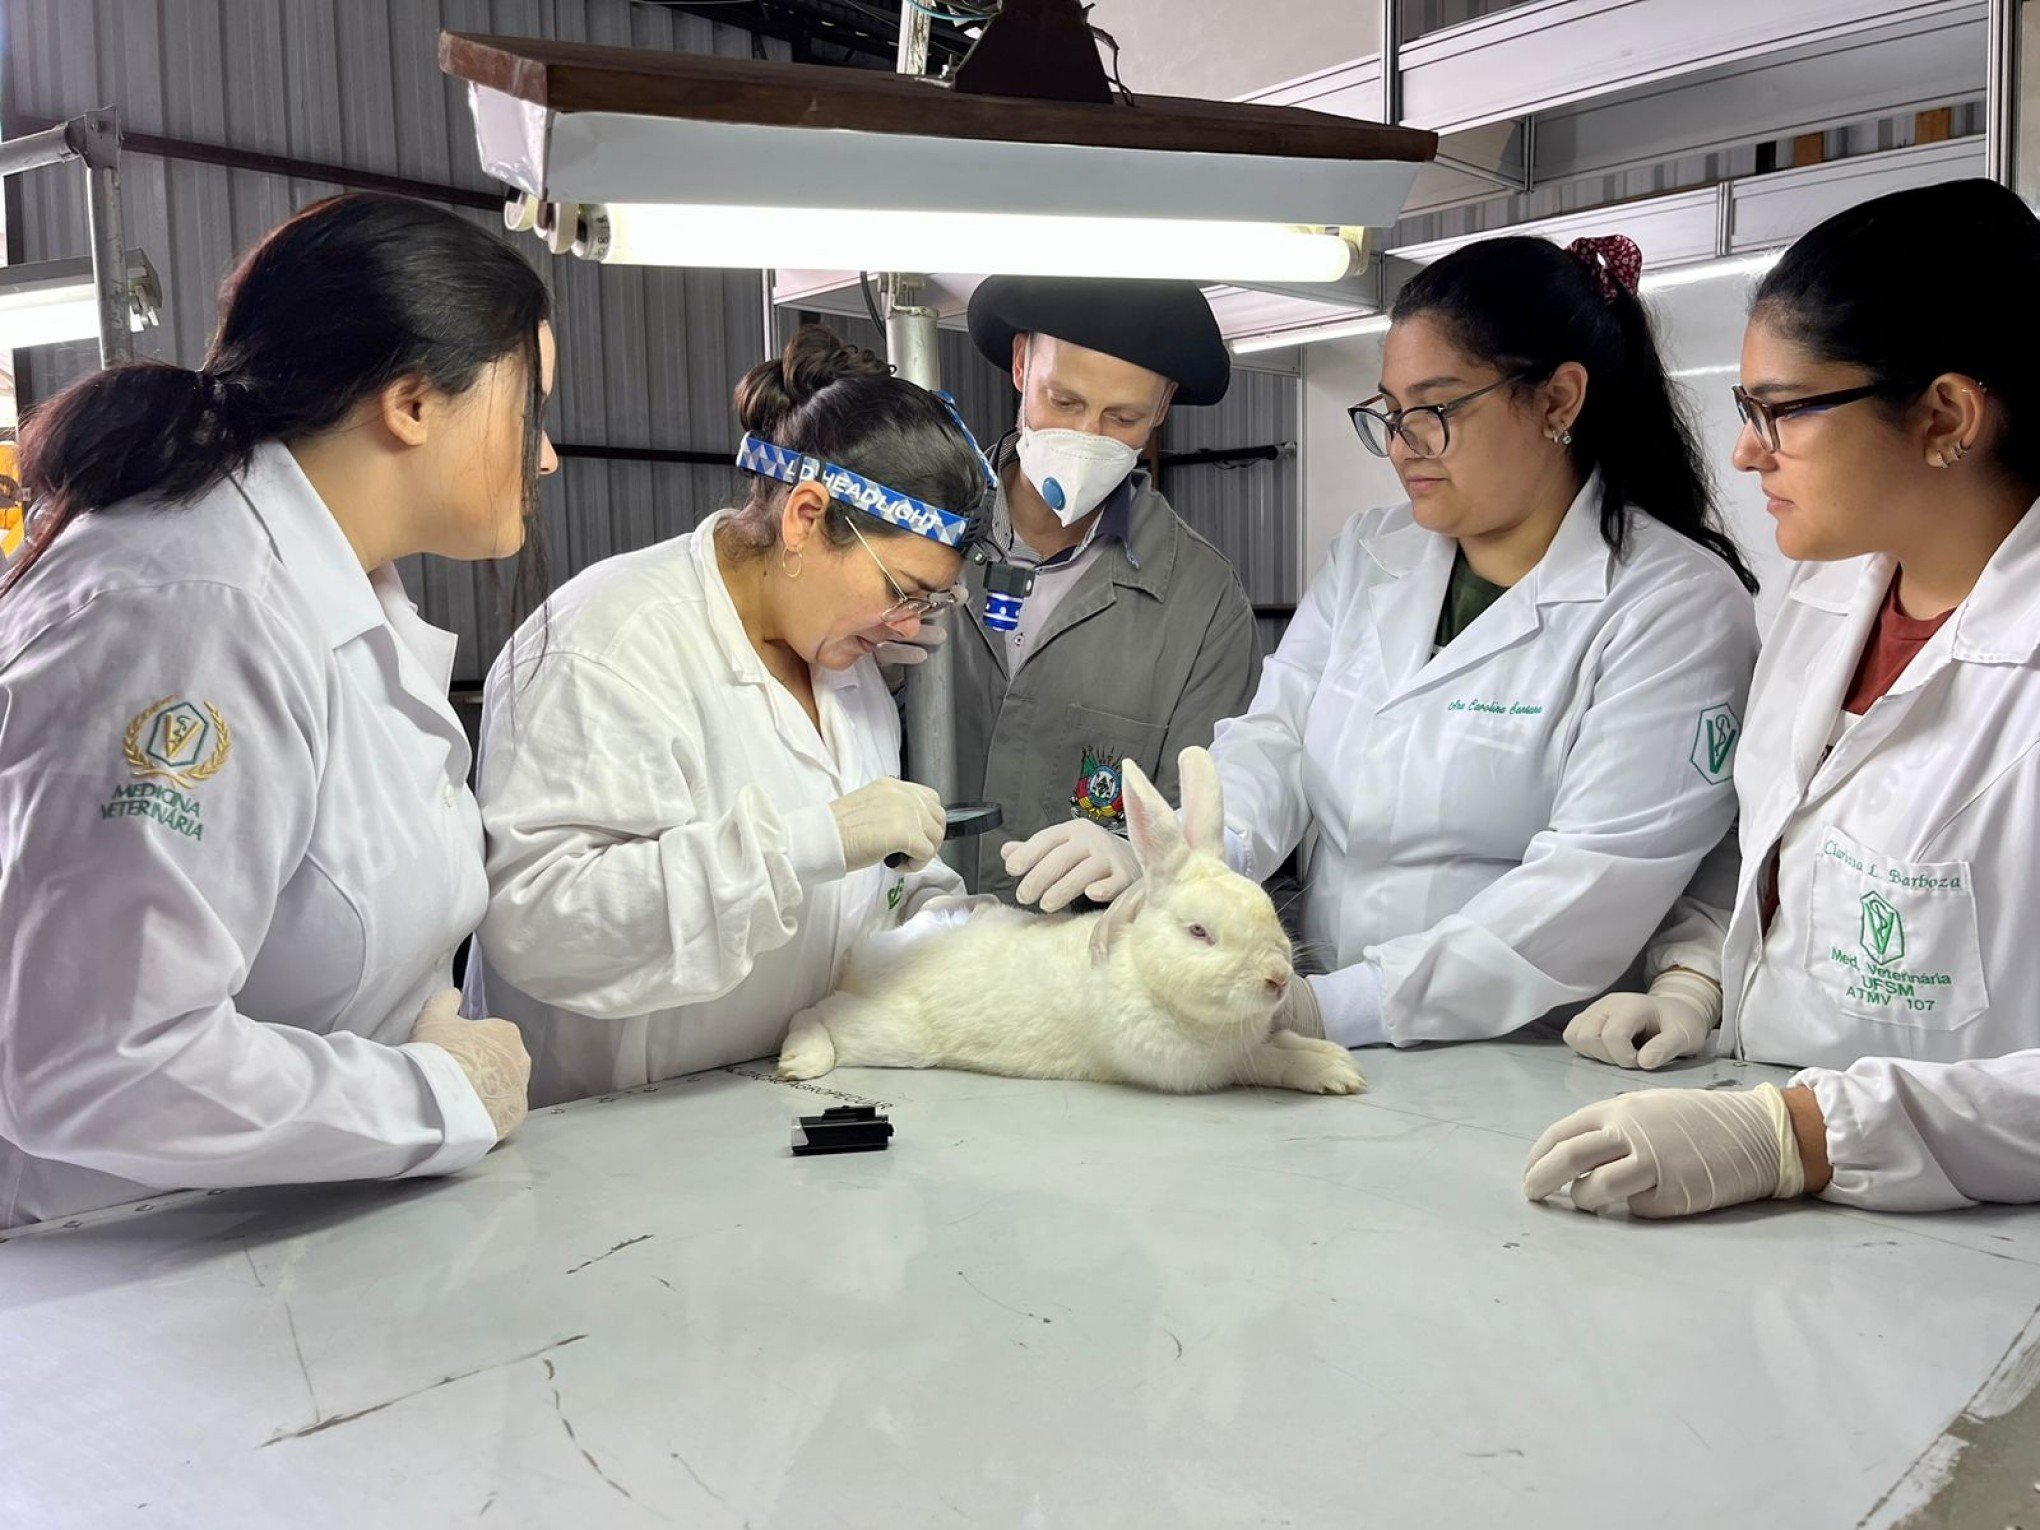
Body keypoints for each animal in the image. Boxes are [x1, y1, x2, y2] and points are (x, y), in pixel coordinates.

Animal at [779, 746, 1370, 1093]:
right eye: (1200, 932)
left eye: (1266, 908)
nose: (1278, 979)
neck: (1146, 975)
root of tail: (870, 958)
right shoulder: (1206, 1068)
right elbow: (1270, 1061)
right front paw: (1333, 1073)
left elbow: (1283, 1042)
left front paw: (1332, 1058)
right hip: (892, 1034)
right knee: (817, 1011)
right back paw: (800, 1058)